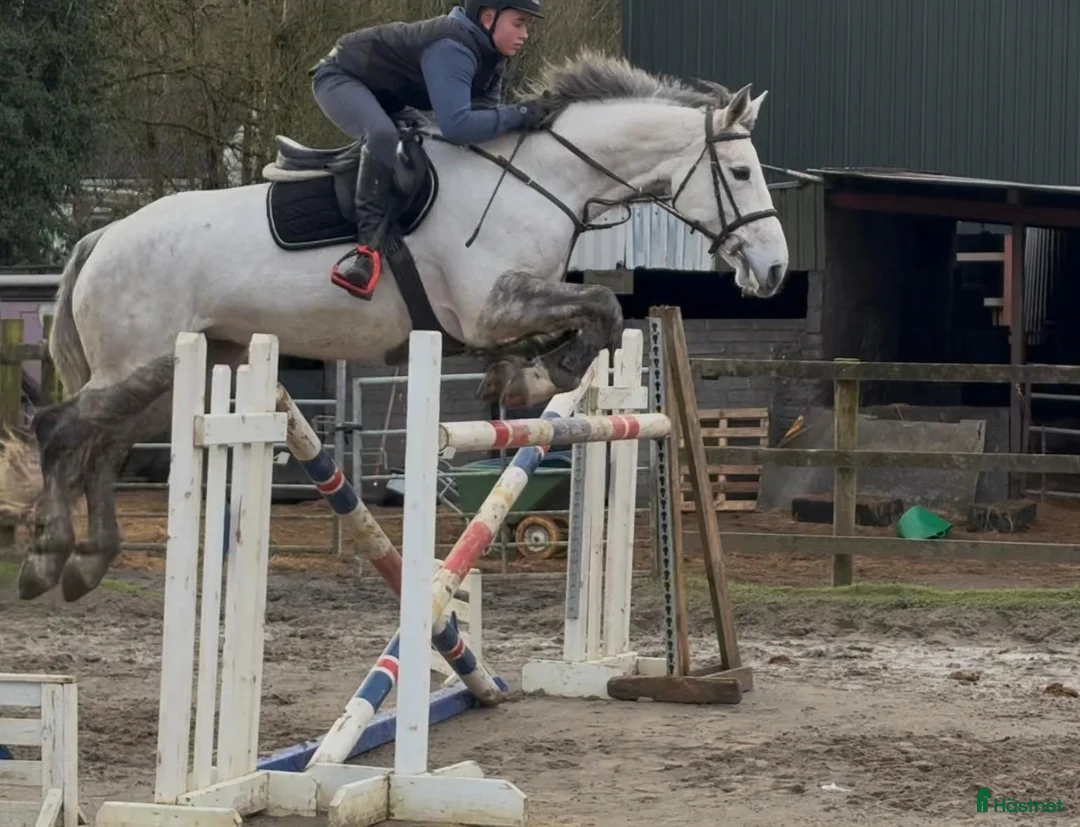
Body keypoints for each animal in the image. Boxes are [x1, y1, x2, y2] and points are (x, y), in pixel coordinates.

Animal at [3, 50, 789, 603]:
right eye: (742, 173)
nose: (775, 269)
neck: (545, 179)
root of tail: (102, 237)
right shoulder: (490, 302)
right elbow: (601, 306)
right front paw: (546, 372)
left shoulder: (503, 310)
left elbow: (583, 317)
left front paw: (522, 373)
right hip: (136, 364)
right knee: (62, 430)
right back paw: (46, 558)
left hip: (172, 370)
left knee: (103, 446)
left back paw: (87, 562)